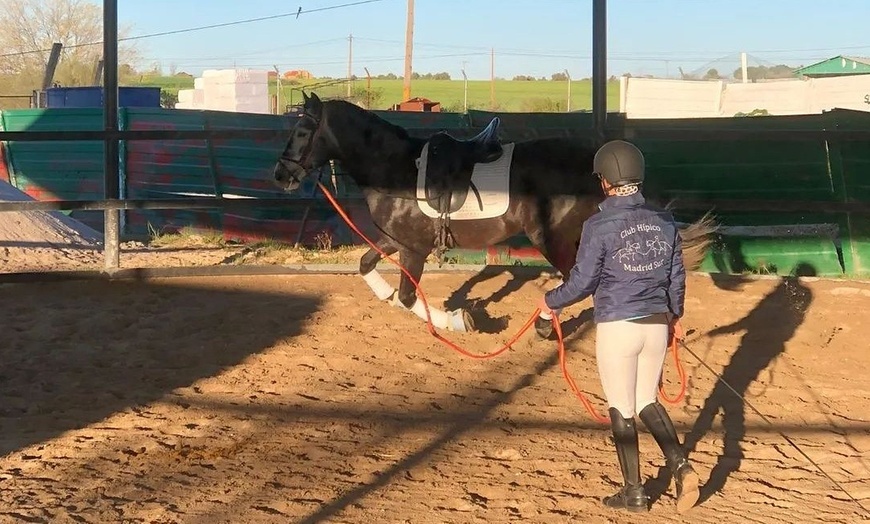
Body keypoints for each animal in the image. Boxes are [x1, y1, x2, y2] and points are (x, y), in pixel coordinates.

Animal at [272, 91, 716, 337]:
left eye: (301, 132)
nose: (280, 175)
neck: (396, 170)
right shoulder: (396, 240)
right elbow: (366, 266)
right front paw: (387, 297)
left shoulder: (413, 249)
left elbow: (409, 295)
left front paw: (458, 321)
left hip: (554, 239)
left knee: (577, 281)